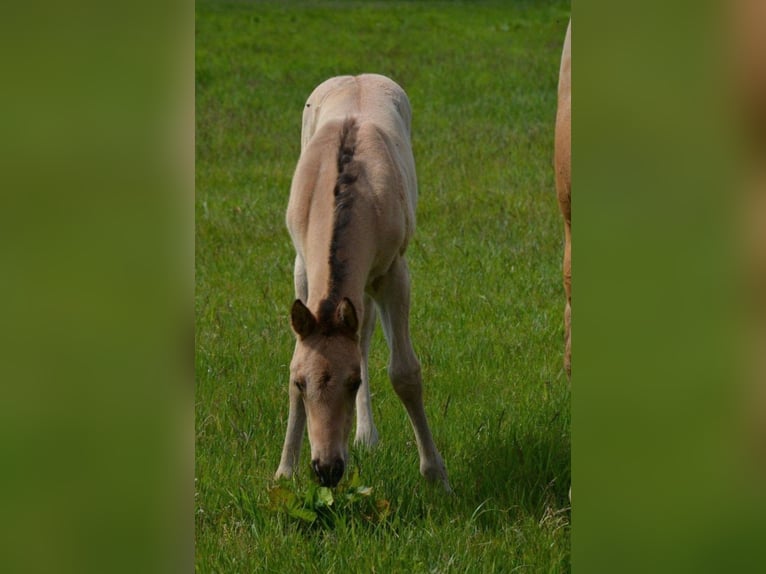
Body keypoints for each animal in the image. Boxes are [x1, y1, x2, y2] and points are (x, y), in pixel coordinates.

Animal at [275, 74, 450, 490]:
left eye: (353, 382)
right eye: (302, 384)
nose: (327, 469)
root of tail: (357, 76)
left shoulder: (394, 273)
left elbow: (404, 372)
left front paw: (436, 474)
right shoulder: (301, 268)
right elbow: (295, 356)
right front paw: (284, 470)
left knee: (366, 336)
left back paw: (366, 436)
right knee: (363, 333)